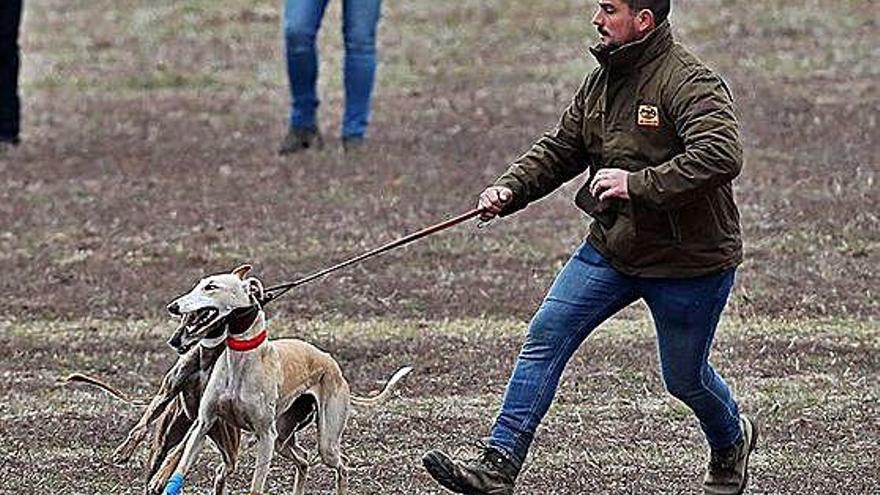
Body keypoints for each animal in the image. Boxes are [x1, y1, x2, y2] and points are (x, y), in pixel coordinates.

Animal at [154, 268, 412, 495]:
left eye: (211, 287)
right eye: (199, 285)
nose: (172, 306)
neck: (240, 360)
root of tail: (334, 366)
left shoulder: (265, 436)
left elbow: (256, 487)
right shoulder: (204, 424)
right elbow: (179, 468)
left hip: (324, 441)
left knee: (341, 463)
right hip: (282, 436)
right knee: (303, 459)